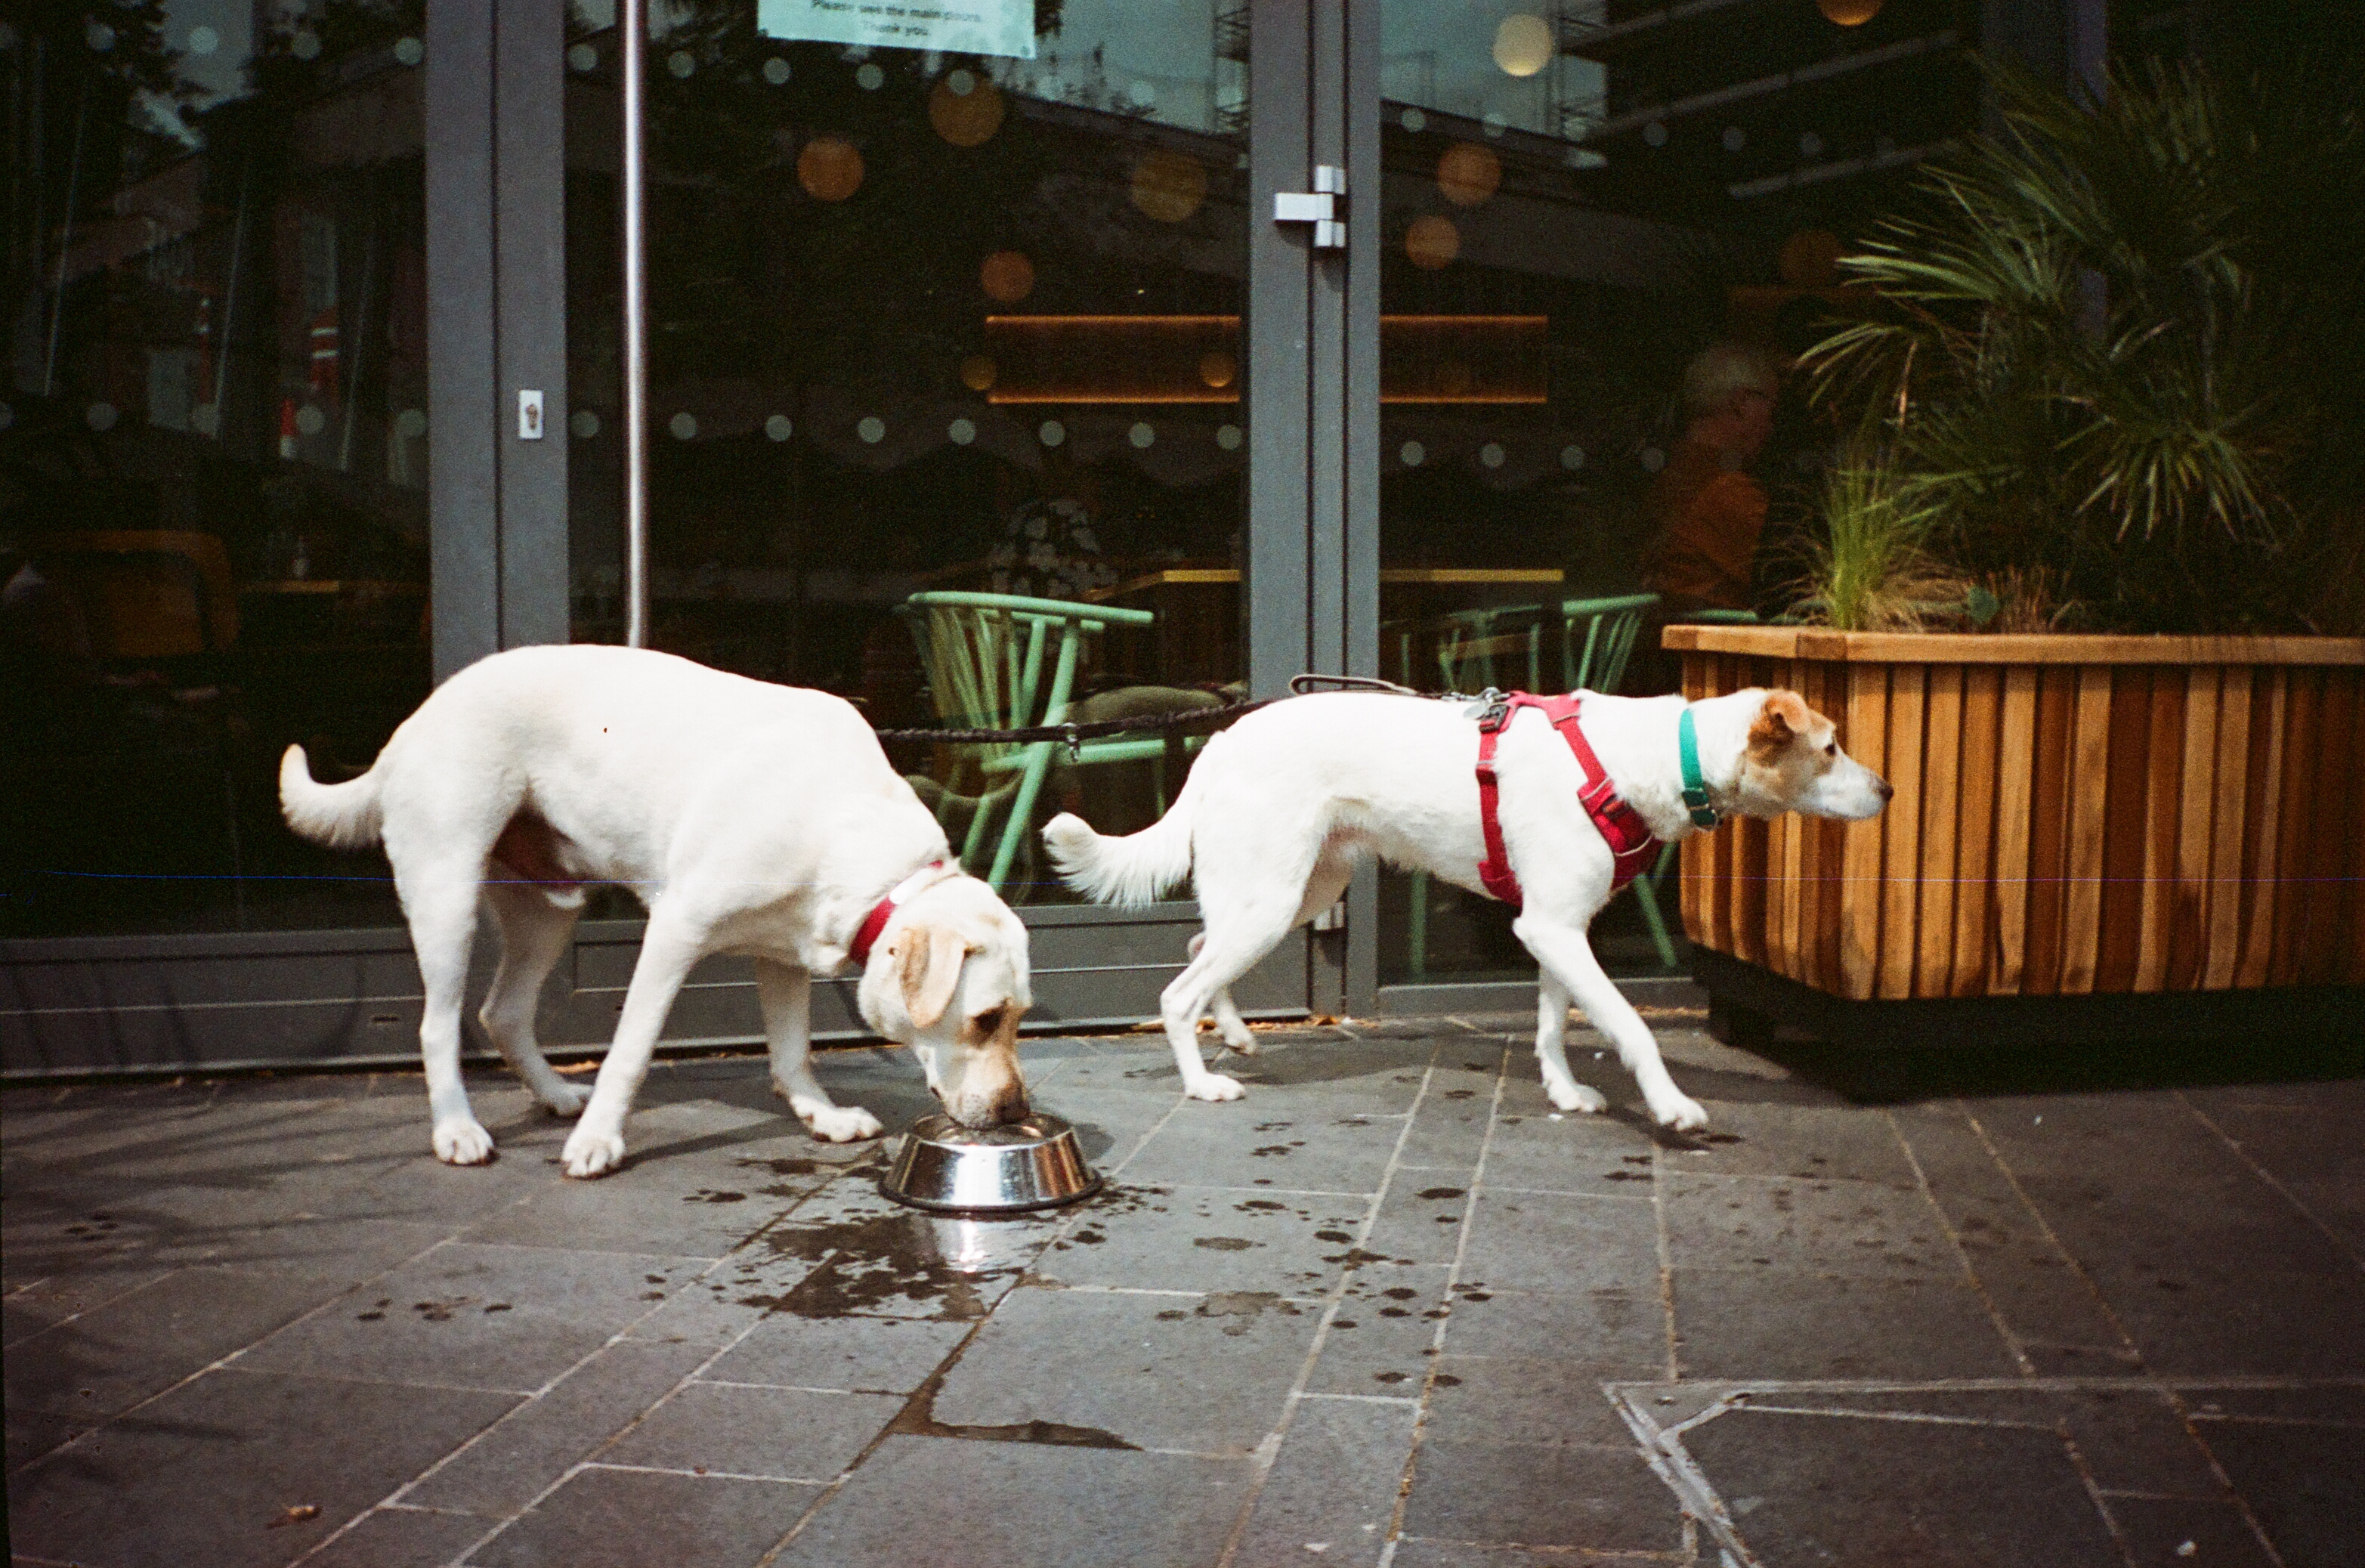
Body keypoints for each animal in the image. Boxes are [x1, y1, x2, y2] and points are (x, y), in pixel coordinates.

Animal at [279, 644, 1032, 1178]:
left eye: (1018, 1016)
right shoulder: (675, 931)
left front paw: (821, 1116)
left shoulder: (781, 953)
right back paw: (457, 1130)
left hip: (549, 912)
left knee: (503, 1012)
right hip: (447, 894)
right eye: (985, 1018)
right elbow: (630, 1051)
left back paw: (556, 1095)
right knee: (439, 1025)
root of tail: (415, 719)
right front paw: (599, 1141)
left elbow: (793, 1052)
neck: (847, 826)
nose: (1017, 1109)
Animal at [1043, 686, 1889, 1130]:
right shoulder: (1554, 929)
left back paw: (1238, 1033)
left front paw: (1564, 1091)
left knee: (1197, 951)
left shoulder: (1555, 927)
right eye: (1830, 749)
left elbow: (1554, 1025)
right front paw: (1671, 1104)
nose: (1887, 790)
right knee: (1176, 991)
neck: (1647, 756)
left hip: (1295, 890)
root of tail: (1220, 740)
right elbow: (1631, 1026)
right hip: (1271, 896)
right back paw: (1201, 1081)